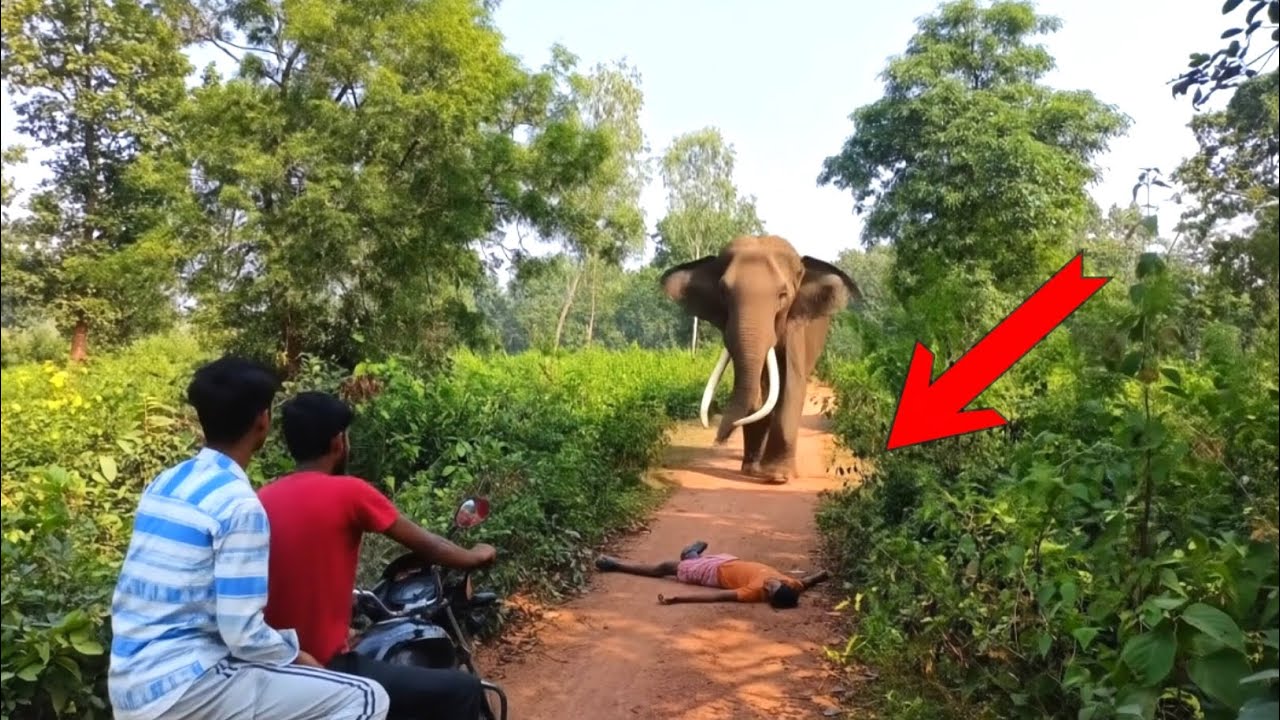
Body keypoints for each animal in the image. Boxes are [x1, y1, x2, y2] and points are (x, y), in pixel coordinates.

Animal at [660, 234, 860, 484]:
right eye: (723, 293)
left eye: (783, 295)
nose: (717, 440)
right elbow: (757, 391)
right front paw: (752, 470)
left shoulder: (796, 324)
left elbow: (792, 384)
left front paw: (777, 477)